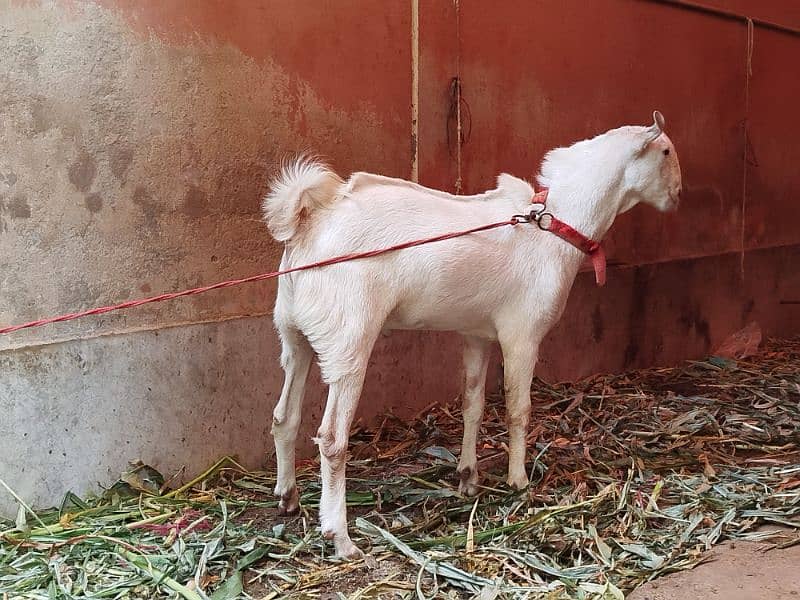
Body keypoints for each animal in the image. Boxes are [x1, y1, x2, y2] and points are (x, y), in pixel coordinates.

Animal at [260, 111, 680, 556]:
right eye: (665, 152)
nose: (677, 194)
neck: (551, 224)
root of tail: (313, 221)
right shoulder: (523, 335)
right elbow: (517, 408)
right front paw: (519, 481)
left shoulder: (476, 334)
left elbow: (473, 404)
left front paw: (468, 477)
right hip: (348, 341)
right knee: (331, 439)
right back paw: (340, 537)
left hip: (294, 333)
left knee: (284, 415)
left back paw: (287, 498)